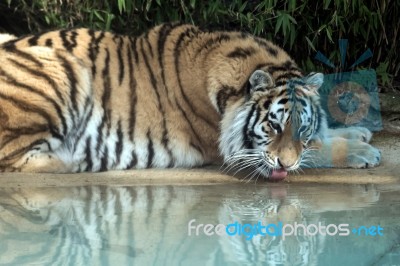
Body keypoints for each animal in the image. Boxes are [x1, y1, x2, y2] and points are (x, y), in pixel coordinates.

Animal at [0, 23, 382, 179]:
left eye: (302, 127)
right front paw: (363, 151)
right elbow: (318, 152)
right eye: (273, 125)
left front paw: (357, 133)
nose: (286, 166)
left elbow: (321, 137)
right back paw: (80, 159)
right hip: (65, 70)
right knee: (15, 160)